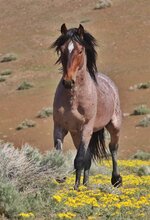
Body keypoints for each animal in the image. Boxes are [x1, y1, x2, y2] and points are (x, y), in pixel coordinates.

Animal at [51, 23, 122, 189]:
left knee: (113, 148)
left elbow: (79, 160)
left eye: (80, 50)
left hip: (113, 125)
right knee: (88, 157)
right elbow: (59, 156)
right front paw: (61, 177)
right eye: (61, 49)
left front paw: (76, 188)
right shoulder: (60, 128)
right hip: (76, 134)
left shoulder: (86, 128)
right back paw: (86, 184)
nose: (68, 81)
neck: (73, 99)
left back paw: (116, 179)